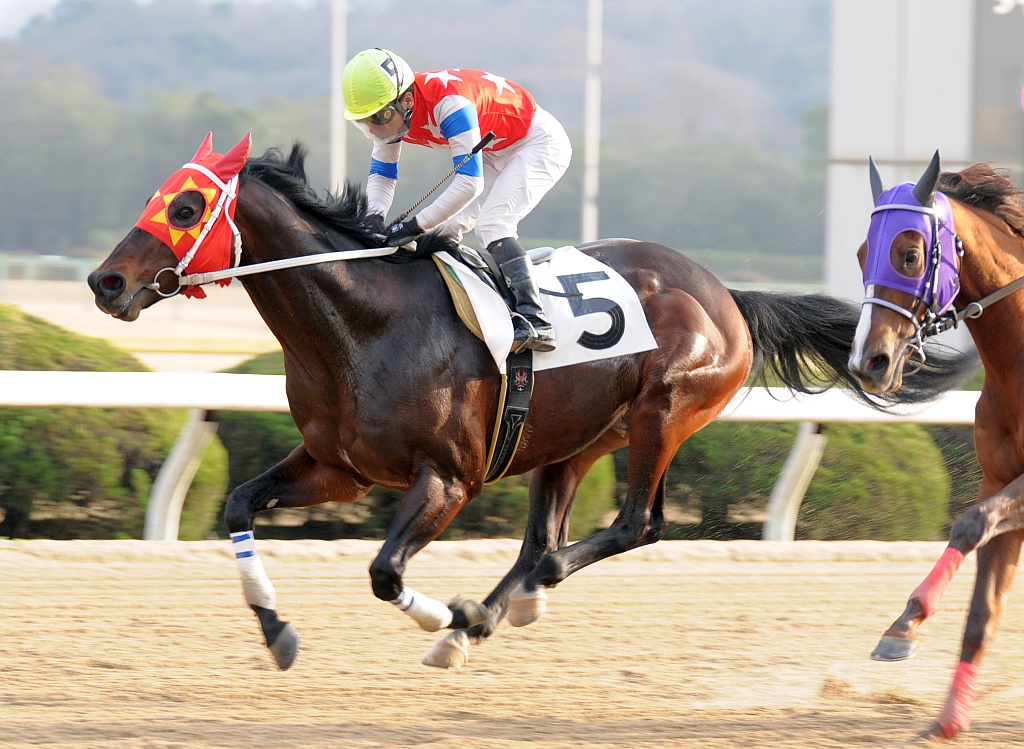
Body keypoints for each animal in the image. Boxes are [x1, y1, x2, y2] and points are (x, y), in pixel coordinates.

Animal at [89, 132, 975, 672]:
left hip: (661, 415)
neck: (360, 322)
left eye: (186, 207)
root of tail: (726, 293)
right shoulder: (339, 467)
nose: (106, 282)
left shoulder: (447, 478)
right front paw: (278, 631)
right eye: (161, 196)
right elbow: (239, 501)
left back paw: (492, 612)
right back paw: (490, 613)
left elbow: (383, 570)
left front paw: (440, 618)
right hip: (572, 439)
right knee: (543, 539)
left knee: (632, 525)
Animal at [849, 151, 1024, 742]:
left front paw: (906, 620)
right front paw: (948, 720)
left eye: (909, 254)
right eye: (862, 254)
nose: (867, 362)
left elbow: (970, 523)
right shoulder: (1000, 480)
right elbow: (983, 614)